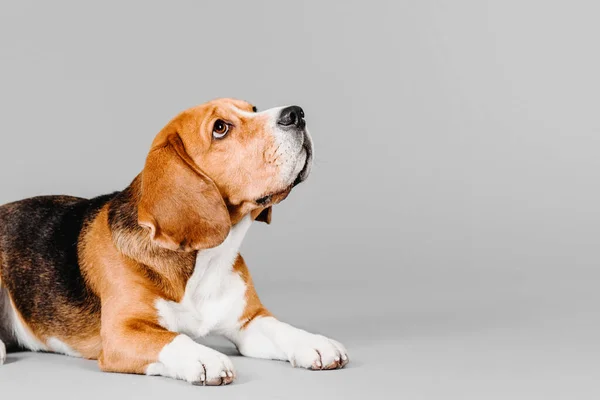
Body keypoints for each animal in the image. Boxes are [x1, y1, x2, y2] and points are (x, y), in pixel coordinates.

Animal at [0, 98, 346, 386]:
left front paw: (314, 342)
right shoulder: (122, 334)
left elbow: (281, 327)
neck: (204, 261)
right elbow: (173, 339)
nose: (296, 113)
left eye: (253, 108)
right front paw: (204, 357)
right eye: (220, 128)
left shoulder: (249, 321)